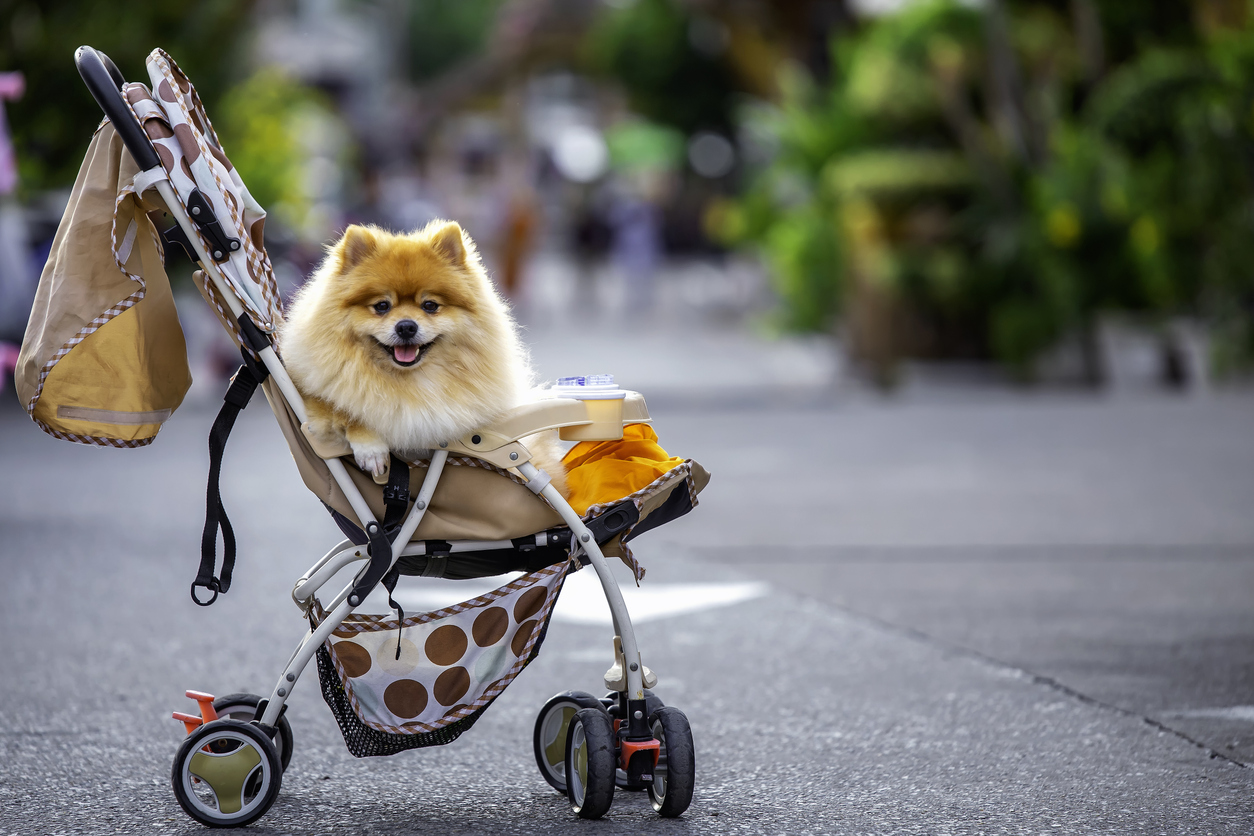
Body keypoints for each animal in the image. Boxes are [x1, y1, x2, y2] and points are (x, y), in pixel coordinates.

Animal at [279, 220, 569, 496]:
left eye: (430, 306)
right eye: (381, 306)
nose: (406, 326)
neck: (408, 382)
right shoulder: (307, 393)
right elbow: (345, 408)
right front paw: (371, 449)